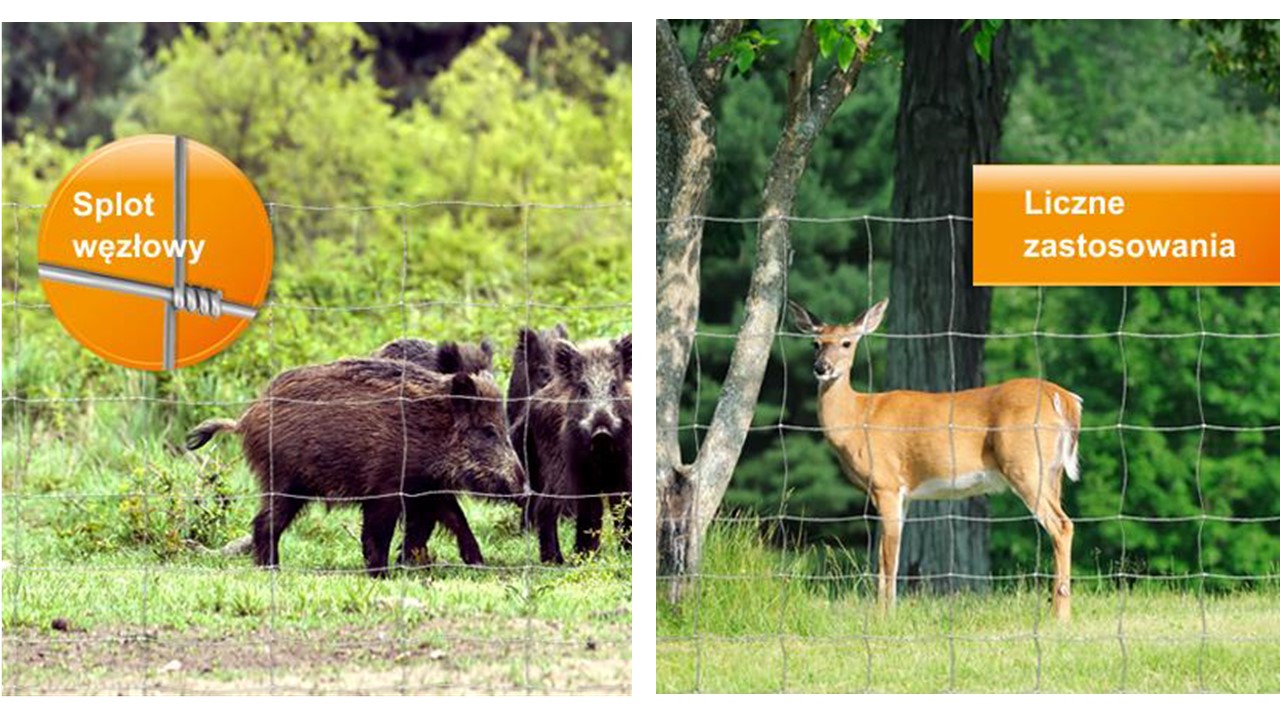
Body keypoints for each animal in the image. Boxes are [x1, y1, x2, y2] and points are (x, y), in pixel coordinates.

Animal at [788, 295, 1080, 617]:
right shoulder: (902, 493)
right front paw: (890, 610)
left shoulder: (886, 482)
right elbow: (890, 554)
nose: (821, 367)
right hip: (1052, 472)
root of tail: (1065, 399)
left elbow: (887, 557)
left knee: (1062, 525)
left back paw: (1060, 614)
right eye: (815, 343)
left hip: (1025, 465)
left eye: (847, 343)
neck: (857, 419)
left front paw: (884, 615)